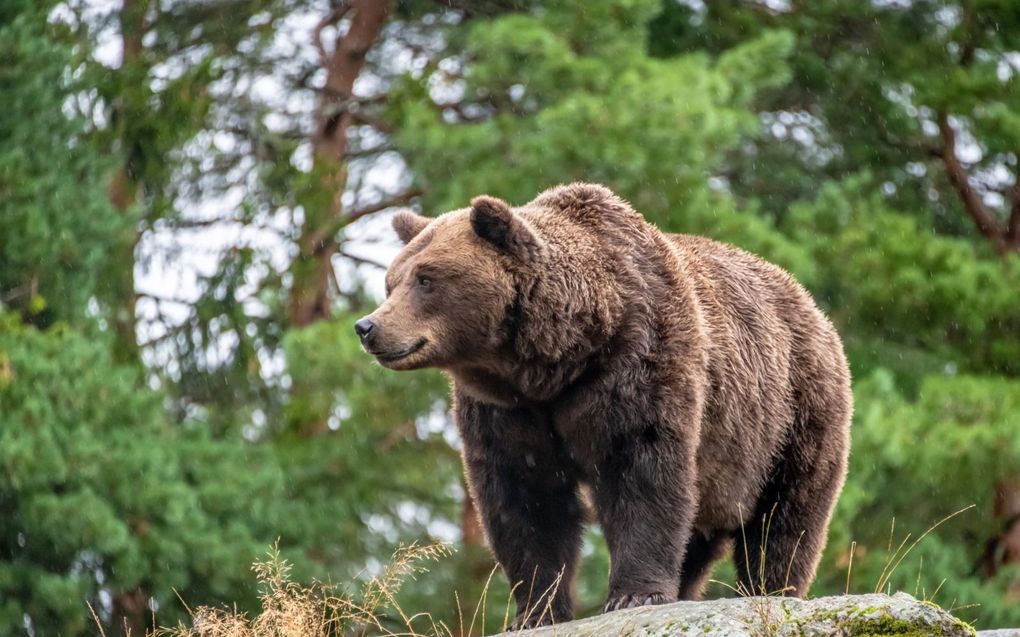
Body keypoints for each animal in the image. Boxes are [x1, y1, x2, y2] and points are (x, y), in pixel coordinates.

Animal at [354, 182, 848, 627]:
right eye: (391, 281)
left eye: (426, 278)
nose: (368, 326)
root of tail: (810, 304)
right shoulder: (505, 410)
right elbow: (524, 497)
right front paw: (534, 611)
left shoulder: (638, 363)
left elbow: (641, 470)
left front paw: (634, 595)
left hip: (791, 414)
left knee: (784, 518)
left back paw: (771, 590)